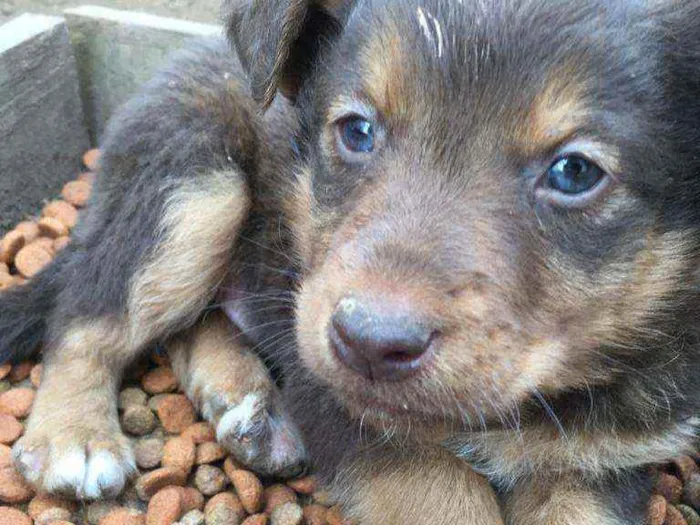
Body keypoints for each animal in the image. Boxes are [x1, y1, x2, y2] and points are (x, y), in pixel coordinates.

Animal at [1, 1, 700, 524]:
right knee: (89, 317)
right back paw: (73, 437)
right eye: (357, 130)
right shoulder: (345, 405)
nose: (367, 342)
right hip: (192, 181)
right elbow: (447, 500)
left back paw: (244, 403)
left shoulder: (601, 463)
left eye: (575, 171)